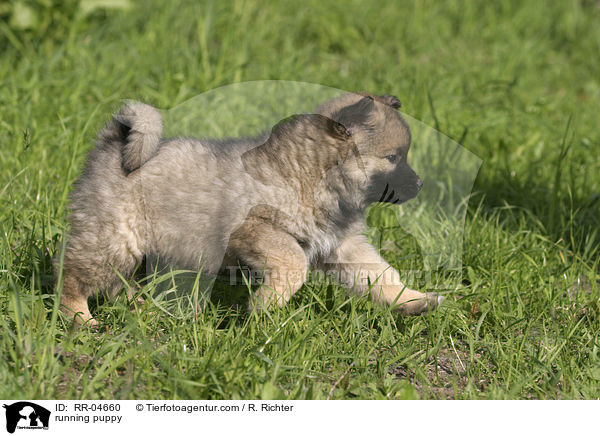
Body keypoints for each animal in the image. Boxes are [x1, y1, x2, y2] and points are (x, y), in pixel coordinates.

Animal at [56, 92, 442, 326]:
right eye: (393, 158)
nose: (421, 184)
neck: (312, 174)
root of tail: (113, 143)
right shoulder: (257, 230)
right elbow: (294, 264)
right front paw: (264, 308)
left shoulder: (342, 245)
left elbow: (382, 275)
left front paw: (413, 301)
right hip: (113, 240)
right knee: (72, 278)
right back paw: (80, 319)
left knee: (120, 285)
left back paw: (140, 308)